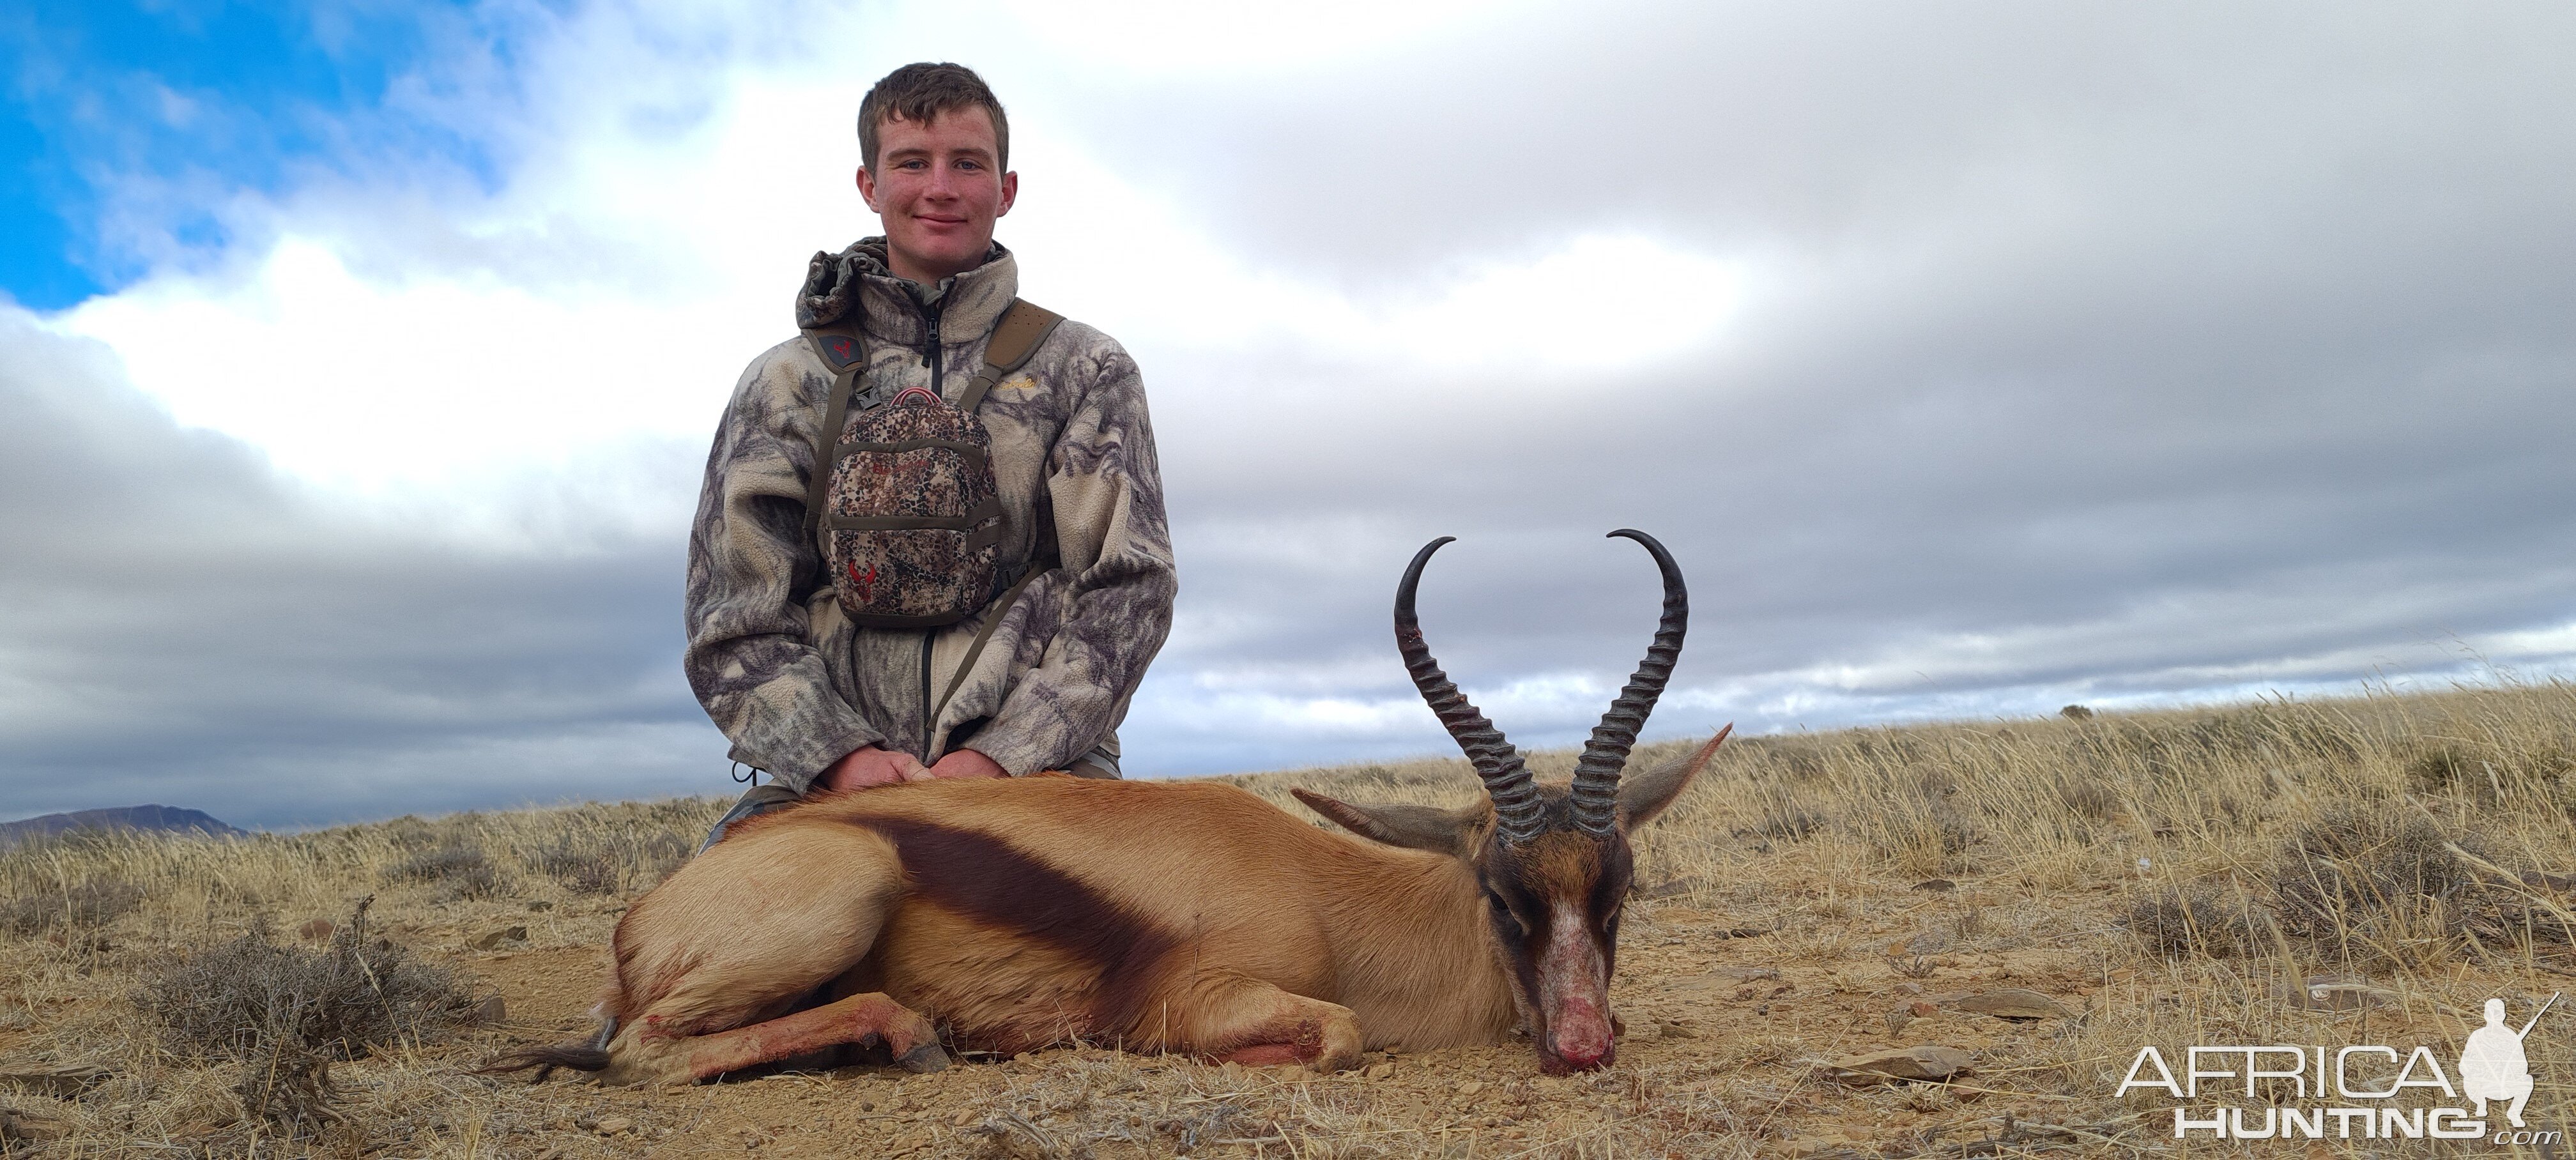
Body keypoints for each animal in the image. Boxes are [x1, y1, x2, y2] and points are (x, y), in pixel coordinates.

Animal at [489, 531, 1721, 1082]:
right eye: (1505, 896)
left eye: (1619, 894)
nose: (1582, 1044)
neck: (1329, 899)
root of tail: (639, 925)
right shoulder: (1210, 995)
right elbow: (1335, 1036)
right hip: (845, 892)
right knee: (643, 1049)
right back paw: (913, 1040)